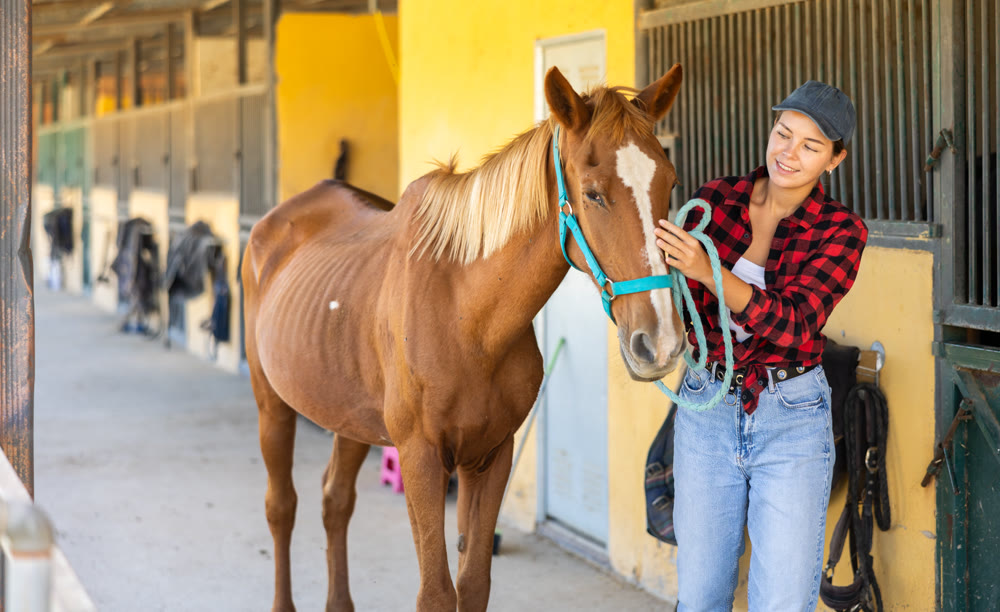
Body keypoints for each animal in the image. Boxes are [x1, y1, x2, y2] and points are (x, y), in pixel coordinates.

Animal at [242, 64, 685, 612]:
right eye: (593, 193)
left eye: (670, 183)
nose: (660, 341)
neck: (466, 317)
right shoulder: (421, 460)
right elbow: (436, 591)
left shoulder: (490, 457)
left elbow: (472, 584)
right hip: (272, 404)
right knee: (281, 506)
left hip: (349, 418)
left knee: (334, 502)